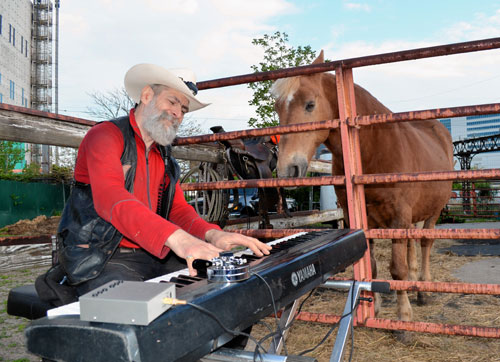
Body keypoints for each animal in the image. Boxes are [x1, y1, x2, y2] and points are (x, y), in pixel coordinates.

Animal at [272, 51, 456, 342]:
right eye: (278, 108)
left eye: (310, 105)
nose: (286, 170)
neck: (374, 148)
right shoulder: (359, 217)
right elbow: (372, 265)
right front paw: (374, 308)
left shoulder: (398, 217)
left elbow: (397, 269)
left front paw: (403, 321)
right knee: (413, 247)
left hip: (433, 212)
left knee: (426, 244)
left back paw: (424, 289)